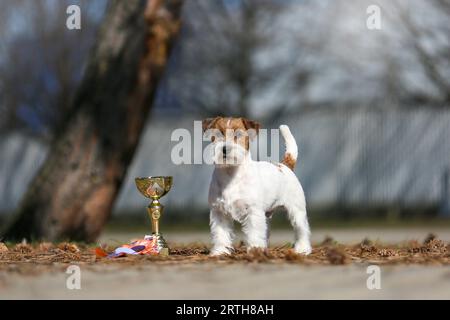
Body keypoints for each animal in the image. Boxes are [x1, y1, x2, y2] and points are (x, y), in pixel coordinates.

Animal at [203, 116, 312, 256]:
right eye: (218, 134)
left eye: (238, 134)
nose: (225, 149)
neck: (231, 173)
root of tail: (284, 166)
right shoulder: (219, 212)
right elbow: (221, 234)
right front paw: (220, 251)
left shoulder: (253, 211)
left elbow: (254, 232)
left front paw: (255, 250)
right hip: (266, 215)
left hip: (296, 210)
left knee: (301, 229)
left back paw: (303, 249)